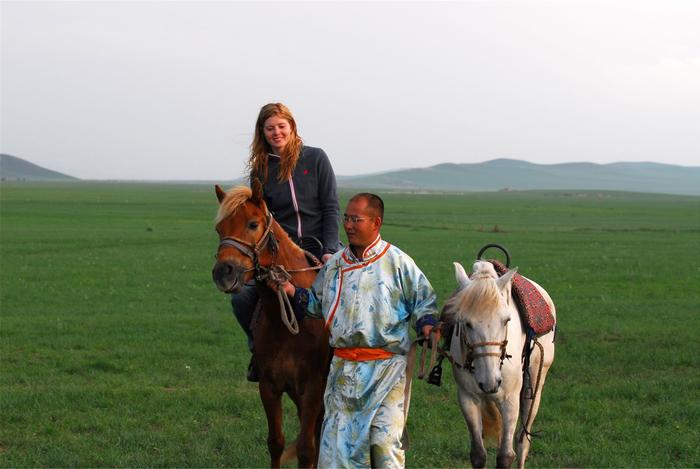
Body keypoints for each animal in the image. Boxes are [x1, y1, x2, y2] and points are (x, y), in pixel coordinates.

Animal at [211, 182, 330, 464]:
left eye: (253, 224)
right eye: (220, 229)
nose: (223, 273)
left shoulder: (312, 388)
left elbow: (306, 449)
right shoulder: (269, 386)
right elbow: (276, 443)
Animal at [442, 262, 556, 466]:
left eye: (506, 320)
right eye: (466, 323)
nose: (490, 382)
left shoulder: (510, 400)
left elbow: (505, 456)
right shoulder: (467, 398)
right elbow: (478, 454)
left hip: (535, 382)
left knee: (522, 440)